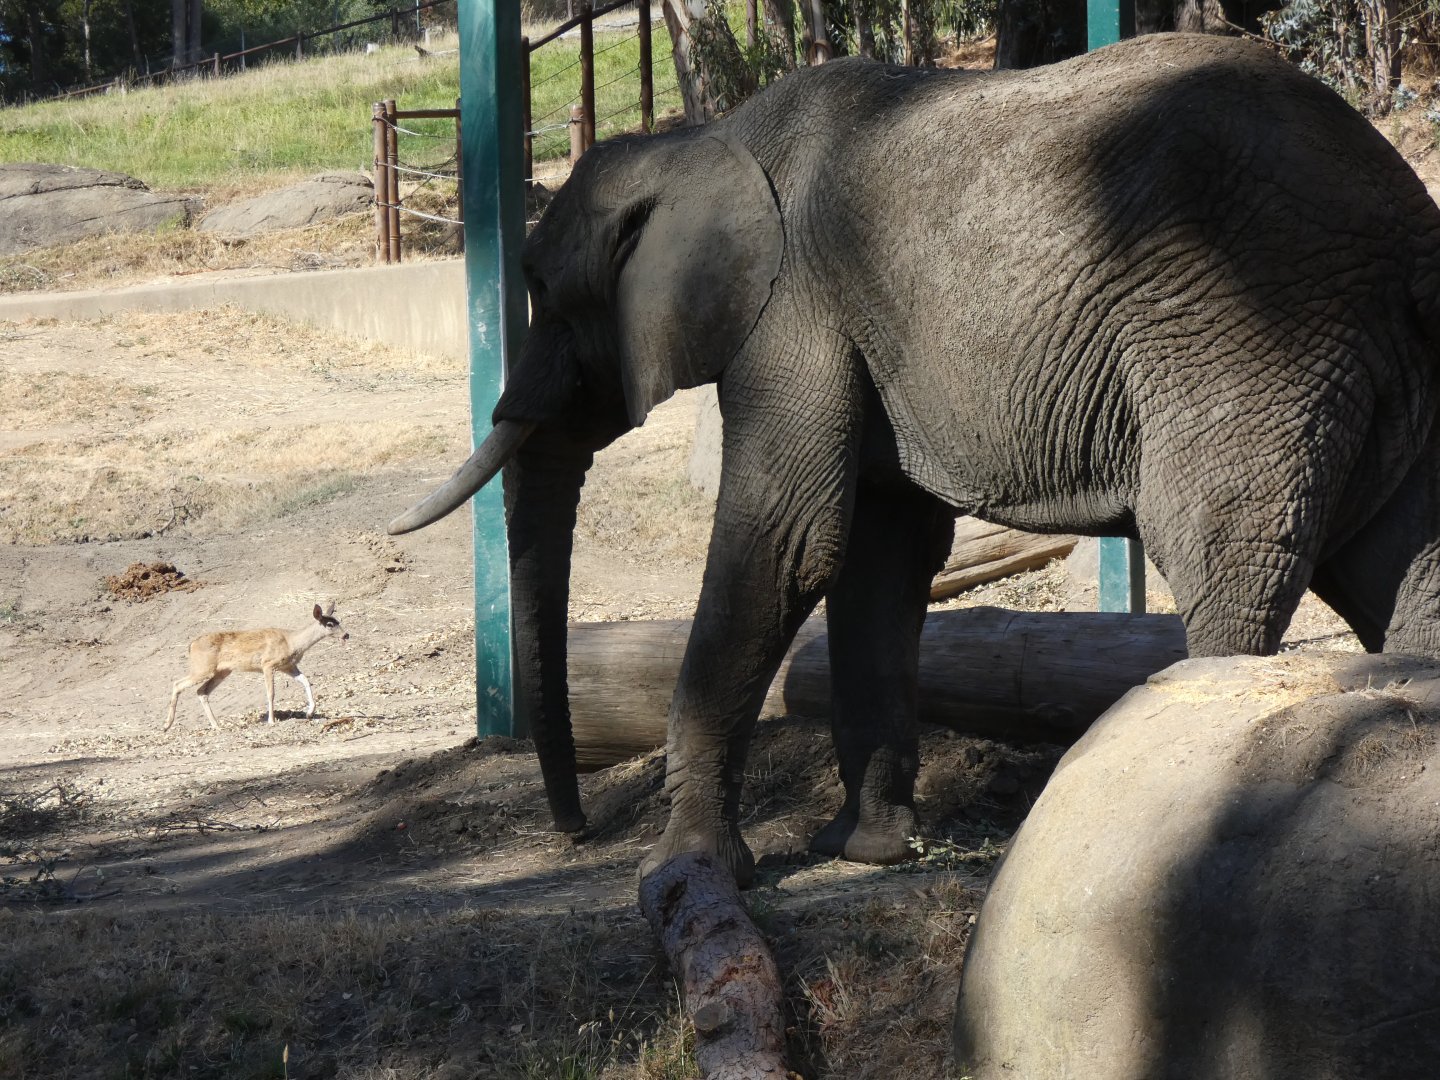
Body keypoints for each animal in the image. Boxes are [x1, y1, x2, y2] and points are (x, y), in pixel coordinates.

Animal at [391, 33, 1440, 886]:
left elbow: (786, 542)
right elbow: (873, 560)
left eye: (539, 286)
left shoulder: (791, 313)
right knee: (1402, 563)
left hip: (1249, 340)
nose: (576, 832)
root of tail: (1404, 219)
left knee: (1223, 554)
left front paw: (683, 870)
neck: (702, 139)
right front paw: (866, 850)